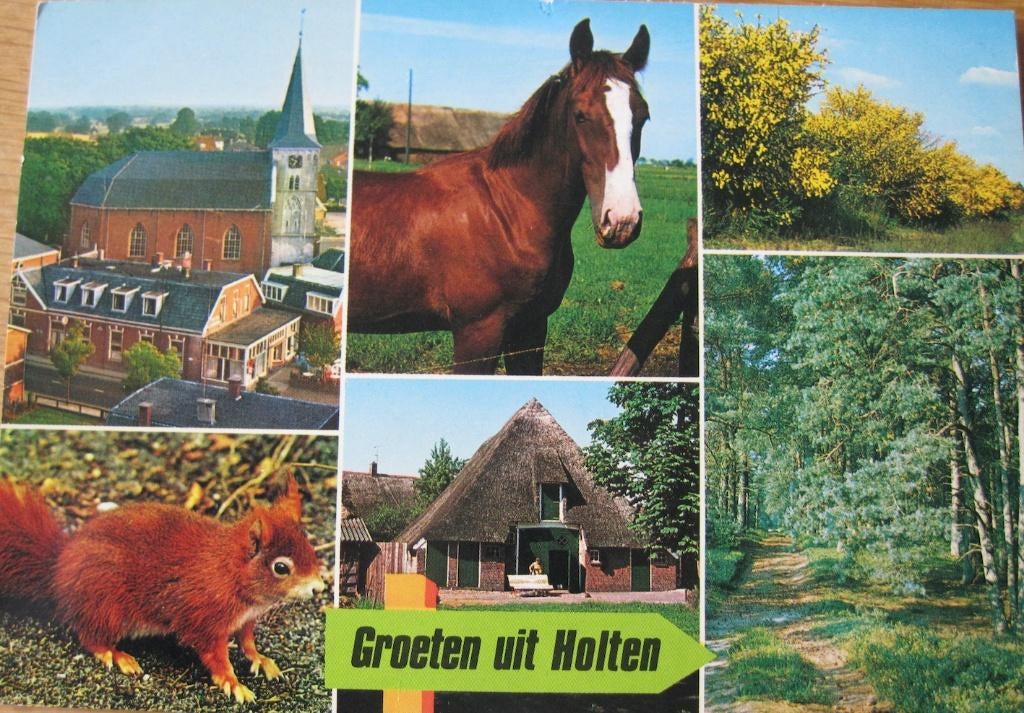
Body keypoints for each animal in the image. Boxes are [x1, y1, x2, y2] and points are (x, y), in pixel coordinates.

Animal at [347, 19, 650, 375]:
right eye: (580, 115)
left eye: (642, 117)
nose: (622, 220)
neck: (507, 212)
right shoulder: (477, 332)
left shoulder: (530, 326)